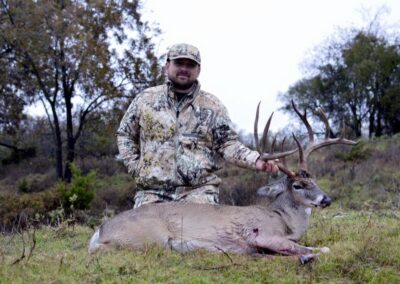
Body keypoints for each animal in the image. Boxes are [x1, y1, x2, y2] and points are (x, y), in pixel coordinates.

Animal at [87, 101, 356, 262]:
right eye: (298, 186)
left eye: (315, 180)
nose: (326, 199)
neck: (285, 221)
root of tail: (101, 230)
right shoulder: (264, 235)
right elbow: (317, 248)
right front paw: (307, 255)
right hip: (148, 238)